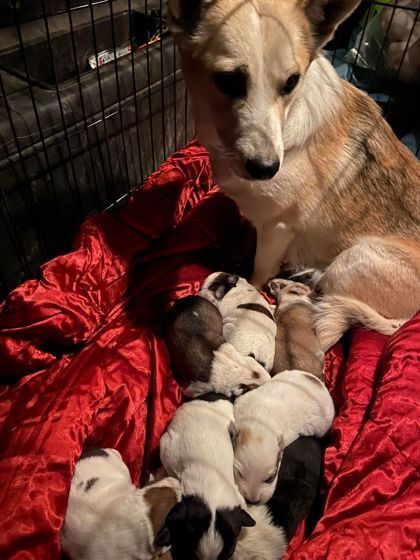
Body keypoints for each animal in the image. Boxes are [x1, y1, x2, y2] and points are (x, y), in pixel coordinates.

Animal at [167, 0, 420, 350]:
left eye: (291, 82)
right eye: (229, 80)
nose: (266, 169)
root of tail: (404, 322)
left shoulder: (278, 228)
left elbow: (257, 271)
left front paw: (249, 284)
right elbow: (246, 239)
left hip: (351, 261)